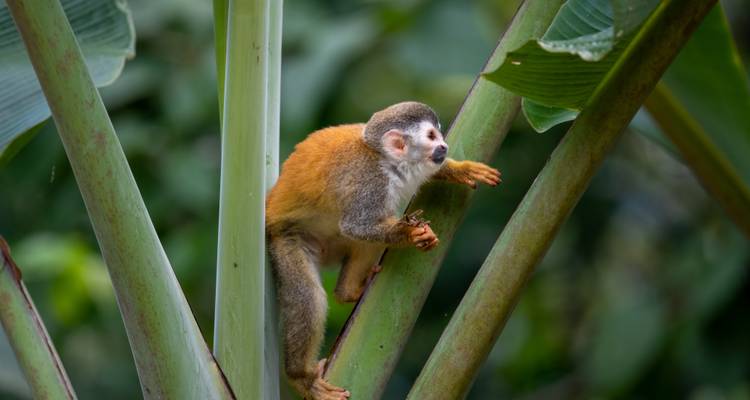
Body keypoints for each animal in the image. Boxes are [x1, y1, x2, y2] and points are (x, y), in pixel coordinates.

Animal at [266, 102, 501, 400]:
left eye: (440, 135)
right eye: (432, 136)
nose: (444, 146)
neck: (387, 161)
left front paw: (460, 169)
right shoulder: (371, 184)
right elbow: (357, 225)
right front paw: (411, 234)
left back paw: (347, 291)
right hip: (285, 240)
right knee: (309, 296)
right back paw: (301, 379)